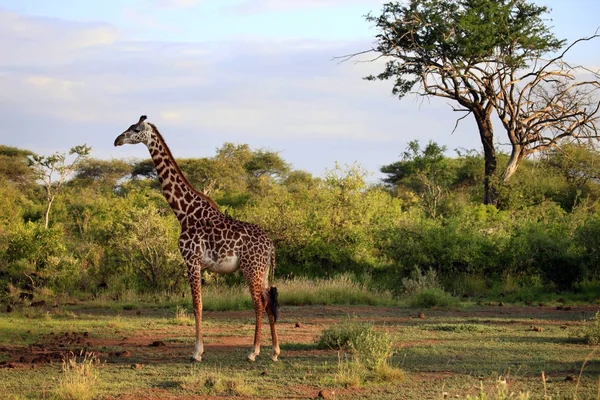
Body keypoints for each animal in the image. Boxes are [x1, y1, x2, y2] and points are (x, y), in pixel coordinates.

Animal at [115, 115, 282, 362]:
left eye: (135, 129)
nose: (117, 140)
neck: (184, 212)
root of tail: (270, 245)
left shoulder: (191, 260)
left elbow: (197, 305)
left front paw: (196, 352)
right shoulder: (197, 263)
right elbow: (199, 304)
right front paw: (199, 350)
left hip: (251, 268)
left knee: (259, 303)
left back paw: (253, 351)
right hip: (262, 271)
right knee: (269, 301)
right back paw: (274, 351)